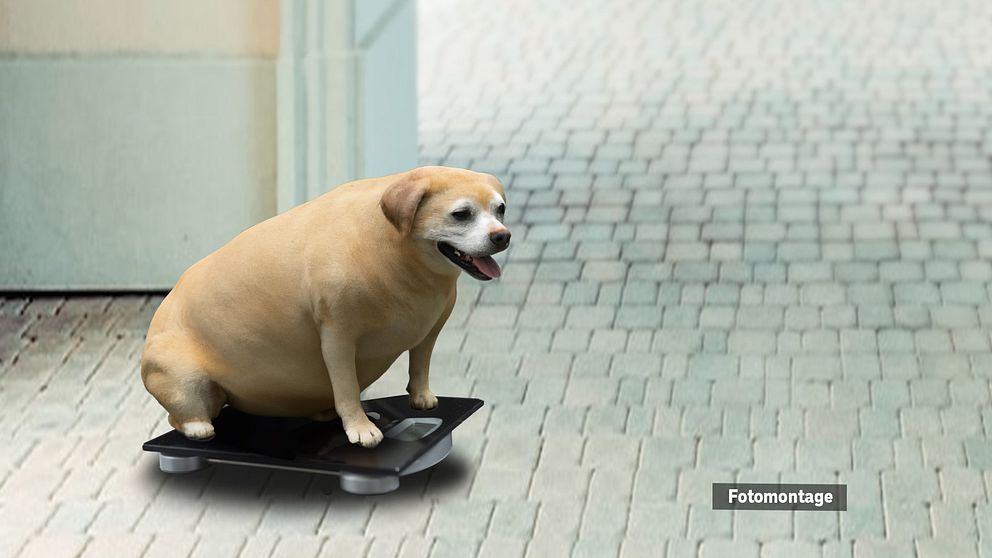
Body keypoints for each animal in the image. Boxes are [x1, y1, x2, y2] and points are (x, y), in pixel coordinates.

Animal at [141, 166, 512, 450]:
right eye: (461, 214)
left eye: (501, 210)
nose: (502, 236)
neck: (394, 250)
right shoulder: (337, 337)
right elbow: (346, 388)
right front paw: (360, 427)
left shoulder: (432, 328)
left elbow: (419, 365)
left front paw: (421, 397)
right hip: (185, 382)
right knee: (180, 414)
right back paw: (198, 426)